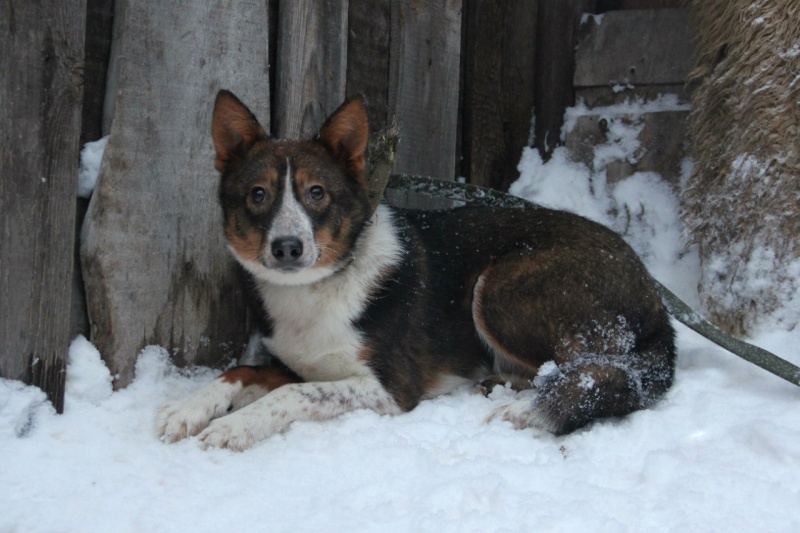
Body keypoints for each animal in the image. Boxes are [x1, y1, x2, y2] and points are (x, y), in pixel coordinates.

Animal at [152, 90, 676, 448]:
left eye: (316, 193)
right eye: (258, 194)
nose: (287, 248)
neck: (321, 286)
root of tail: (654, 297)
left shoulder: (390, 388)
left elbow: (291, 397)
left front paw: (234, 426)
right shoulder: (293, 365)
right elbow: (240, 371)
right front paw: (188, 407)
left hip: (502, 285)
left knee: (598, 371)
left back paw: (524, 410)